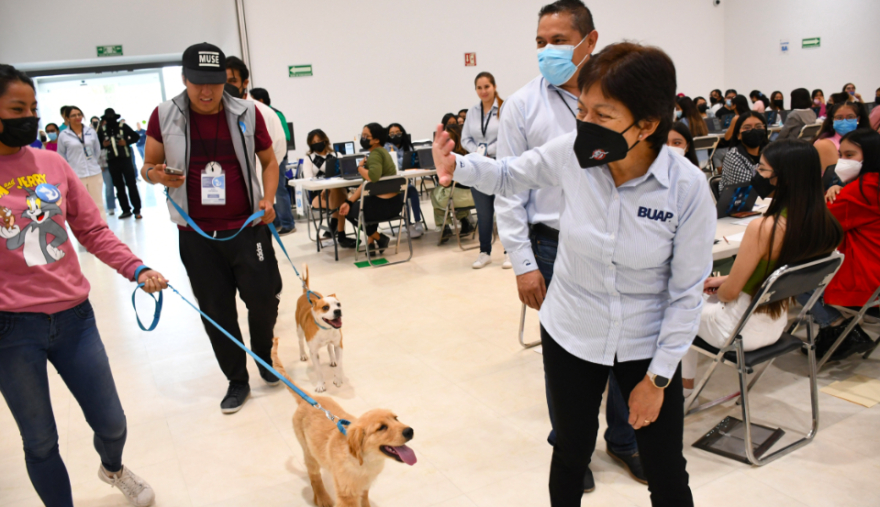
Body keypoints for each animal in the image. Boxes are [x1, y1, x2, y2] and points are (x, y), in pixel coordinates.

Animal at [270, 338, 418, 507]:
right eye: (382, 428)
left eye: (396, 418)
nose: (410, 431)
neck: (366, 461)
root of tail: (309, 399)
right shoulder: (347, 494)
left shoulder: (364, 487)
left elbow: (365, 501)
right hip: (309, 451)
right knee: (314, 476)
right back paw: (322, 498)